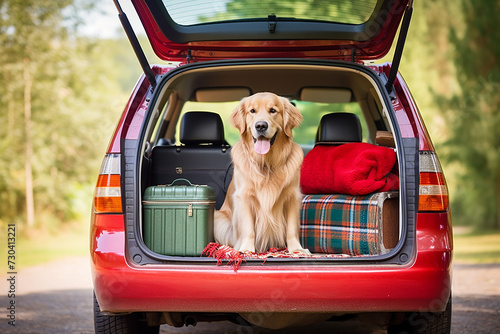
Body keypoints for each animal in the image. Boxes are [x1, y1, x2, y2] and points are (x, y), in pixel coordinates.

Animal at [214, 91, 308, 253]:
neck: (266, 163)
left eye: (273, 110)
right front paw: (246, 249)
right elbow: (248, 228)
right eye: (252, 111)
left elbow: (291, 228)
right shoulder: (244, 196)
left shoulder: (292, 195)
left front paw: (297, 249)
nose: (261, 125)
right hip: (218, 219)